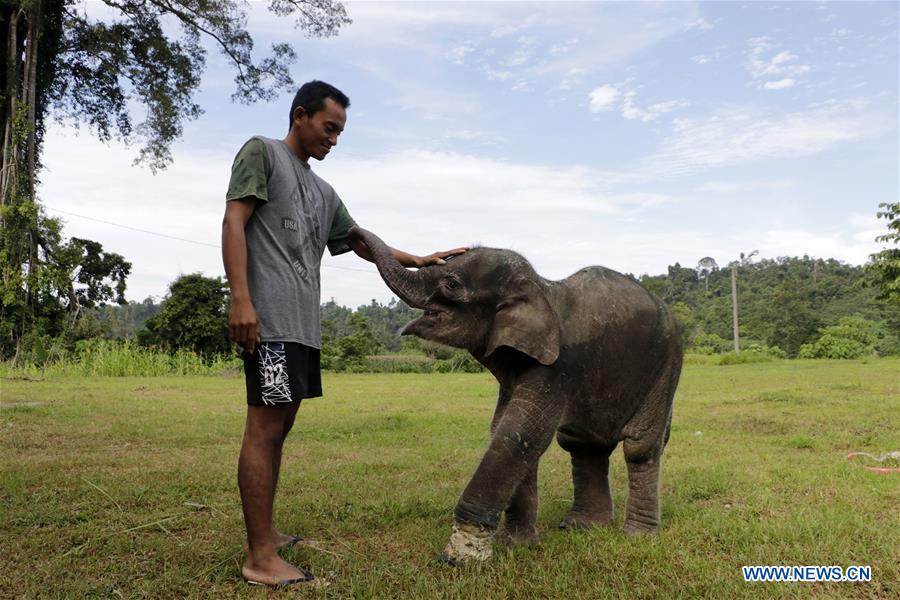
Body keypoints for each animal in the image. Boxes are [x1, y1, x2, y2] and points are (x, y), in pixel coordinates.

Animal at [352, 229, 684, 564]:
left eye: (452, 284)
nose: (353, 233)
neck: (540, 287)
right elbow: (507, 431)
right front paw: (514, 544)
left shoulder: (559, 367)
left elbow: (520, 433)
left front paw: (461, 555)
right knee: (583, 445)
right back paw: (582, 527)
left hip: (666, 368)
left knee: (640, 447)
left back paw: (637, 534)